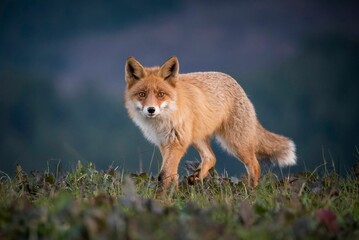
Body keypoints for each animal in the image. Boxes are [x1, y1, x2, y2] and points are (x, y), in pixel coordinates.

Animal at [125, 55, 296, 192]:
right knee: (211, 157)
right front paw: (172, 193)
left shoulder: (176, 142)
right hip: (198, 138)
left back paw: (251, 192)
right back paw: (197, 176)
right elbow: (171, 174)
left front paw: (162, 197)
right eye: (142, 94)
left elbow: (164, 174)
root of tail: (236, 83)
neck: (163, 121)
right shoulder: (164, 143)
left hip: (236, 142)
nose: (151, 109)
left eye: (161, 94)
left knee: (255, 166)